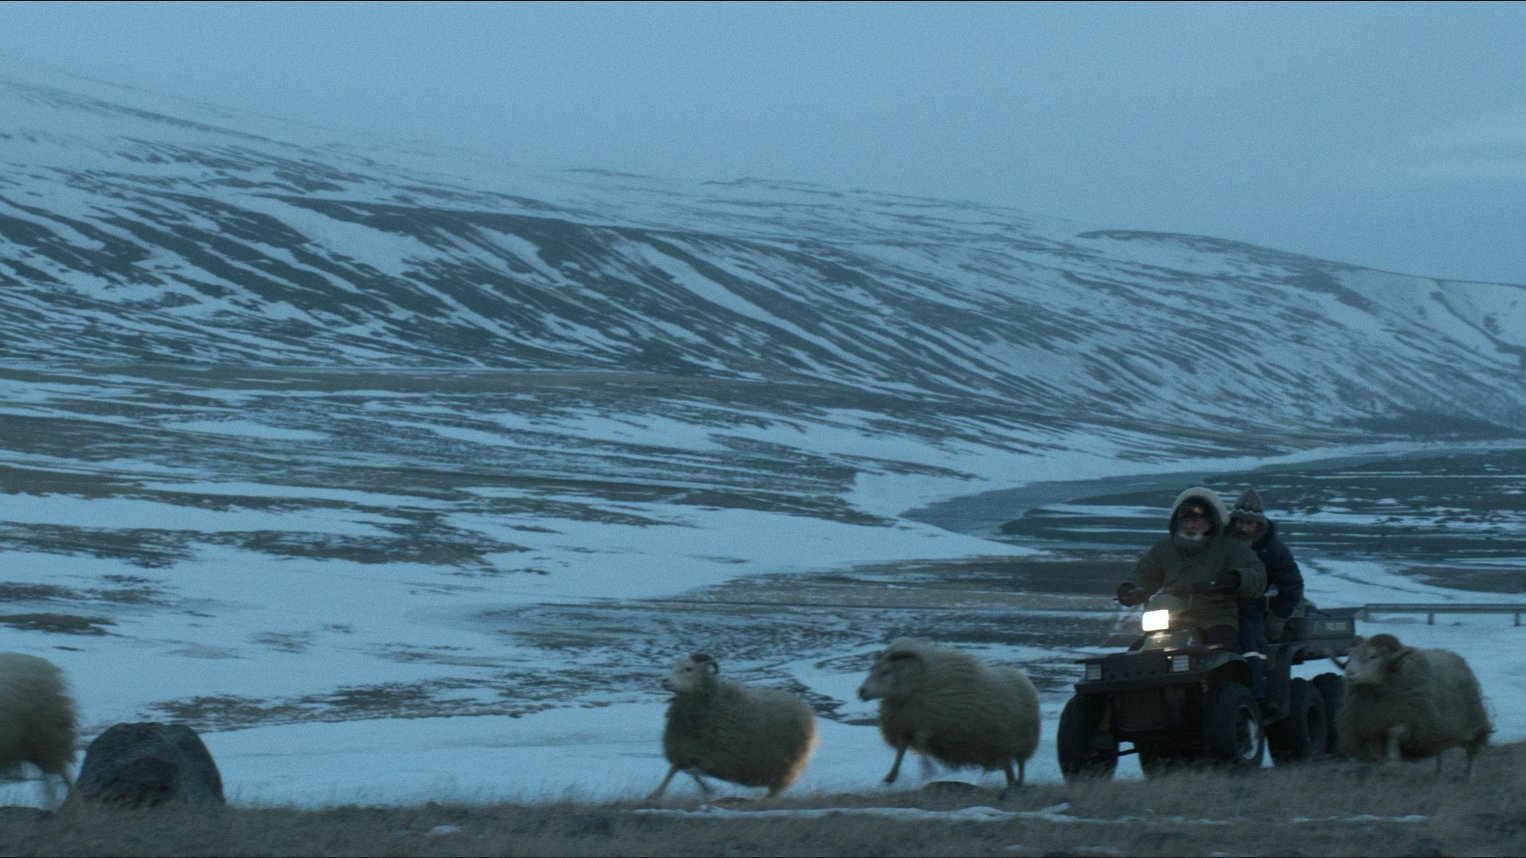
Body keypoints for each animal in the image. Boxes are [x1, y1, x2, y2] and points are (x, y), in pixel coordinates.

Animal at [656, 650, 824, 799]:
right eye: (673, 666)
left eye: (688, 668)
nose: (664, 680)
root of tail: (808, 711)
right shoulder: (684, 752)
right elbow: (673, 772)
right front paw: (655, 795)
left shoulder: (709, 756)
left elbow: (694, 774)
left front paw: (710, 790)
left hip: (786, 768)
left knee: (773, 794)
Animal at [854, 635, 1043, 787]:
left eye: (885, 671)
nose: (861, 692)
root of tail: (1025, 678)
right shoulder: (906, 723)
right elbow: (902, 750)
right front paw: (891, 776)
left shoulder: (937, 720)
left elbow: (920, 740)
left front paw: (928, 769)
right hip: (1000, 745)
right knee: (1007, 765)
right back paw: (1011, 782)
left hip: (1021, 742)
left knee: (1020, 764)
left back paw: (1018, 784)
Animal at [1336, 632, 1489, 772]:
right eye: (1350, 655)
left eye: (1372, 656)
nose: (1348, 673)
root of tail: (1454, 655)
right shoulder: (1372, 727)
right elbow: (1379, 745)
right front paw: (1382, 764)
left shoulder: (1414, 720)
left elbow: (1394, 732)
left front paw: (1393, 760)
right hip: (1440, 730)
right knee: (1440, 752)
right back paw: (1438, 774)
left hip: (1471, 725)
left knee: (1471, 754)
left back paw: (1469, 776)